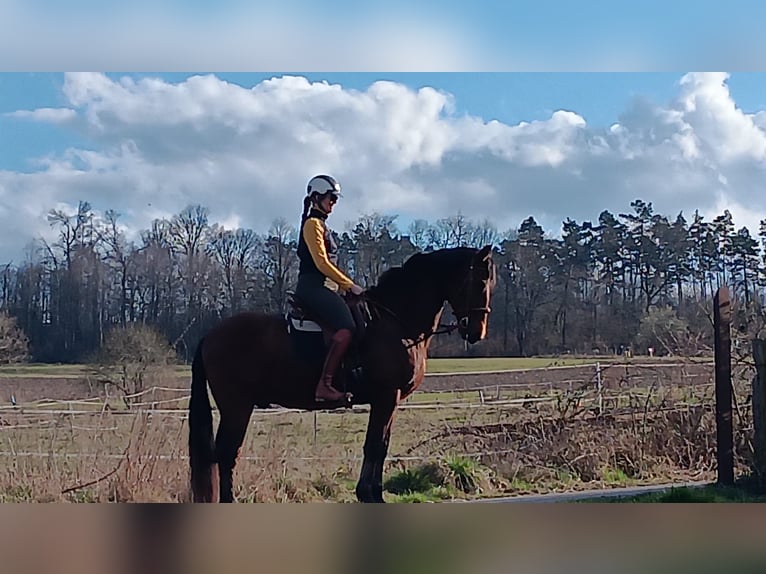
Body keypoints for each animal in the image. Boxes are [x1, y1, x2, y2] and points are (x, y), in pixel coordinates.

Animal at [188, 245, 497, 503]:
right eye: (480, 281)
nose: (477, 332)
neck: (396, 322)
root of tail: (210, 336)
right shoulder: (386, 397)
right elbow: (375, 447)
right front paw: (371, 495)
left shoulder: (389, 401)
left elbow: (380, 445)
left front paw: (370, 493)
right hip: (236, 407)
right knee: (226, 454)